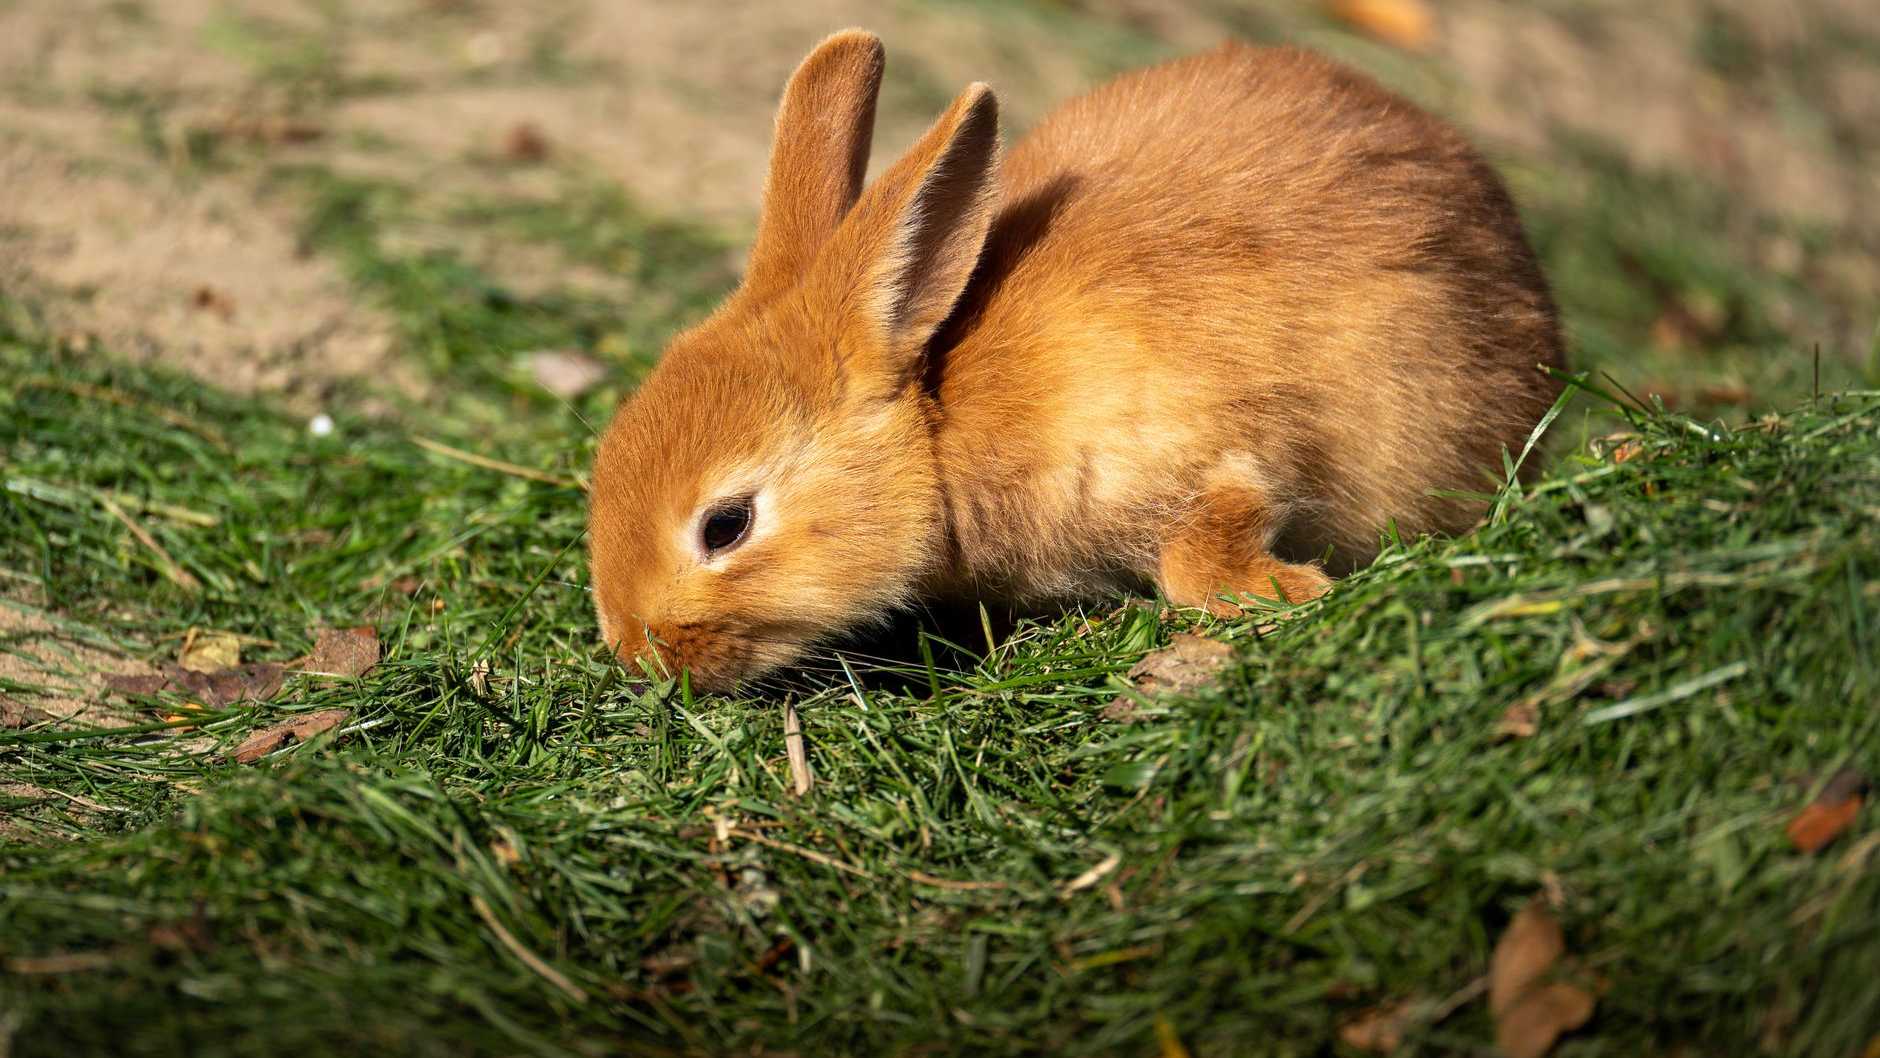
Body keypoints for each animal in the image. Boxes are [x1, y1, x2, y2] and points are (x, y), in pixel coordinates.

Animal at [587, 30, 1564, 690]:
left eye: (726, 525)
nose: (639, 654)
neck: (939, 427)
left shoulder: (1214, 448)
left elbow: (1204, 550)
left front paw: (1290, 592)